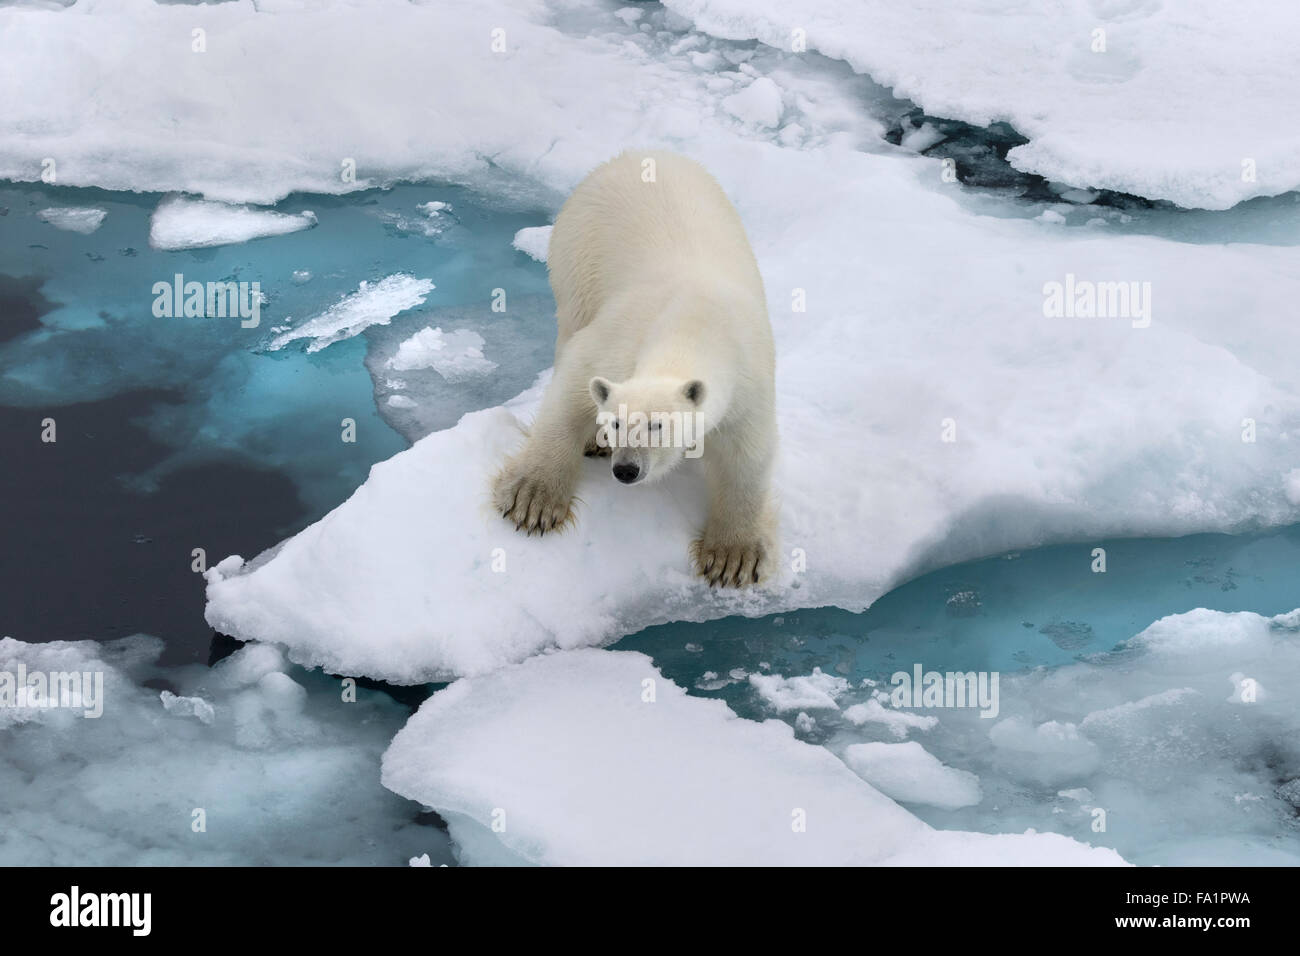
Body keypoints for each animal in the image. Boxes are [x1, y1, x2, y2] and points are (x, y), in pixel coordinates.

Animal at [488, 149, 769, 587]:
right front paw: (532, 499)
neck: (694, 324)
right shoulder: (621, 338)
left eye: (658, 426)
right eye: (617, 421)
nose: (625, 469)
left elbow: (746, 455)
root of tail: (636, 155)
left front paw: (732, 557)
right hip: (578, 253)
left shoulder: (747, 377)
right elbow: (573, 388)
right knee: (570, 325)